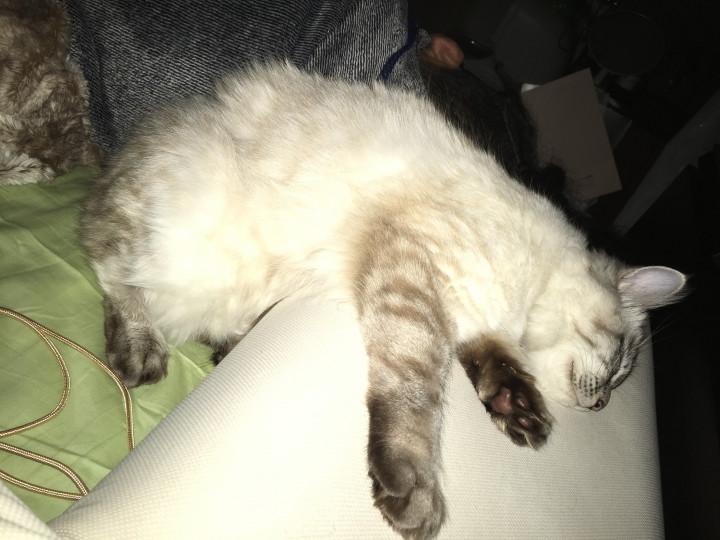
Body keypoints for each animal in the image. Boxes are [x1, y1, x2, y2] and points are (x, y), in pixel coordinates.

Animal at [81, 63, 686, 539]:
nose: (602, 404)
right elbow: (418, 396)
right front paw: (415, 495)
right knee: (106, 262)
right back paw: (140, 350)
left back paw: (230, 344)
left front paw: (520, 413)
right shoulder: (414, 276)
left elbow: (491, 362)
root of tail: (113, 161)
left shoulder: (459, 312)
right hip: (183, 232)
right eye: (618, 364)